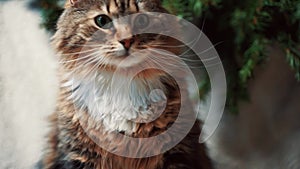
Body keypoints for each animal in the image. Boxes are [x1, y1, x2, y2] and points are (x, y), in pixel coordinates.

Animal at [39, 0, 213, 169]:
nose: (127, 40)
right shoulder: (78, 153)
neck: (121, 84)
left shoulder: (179, 150)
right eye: (102, 21)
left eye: (142, 20)